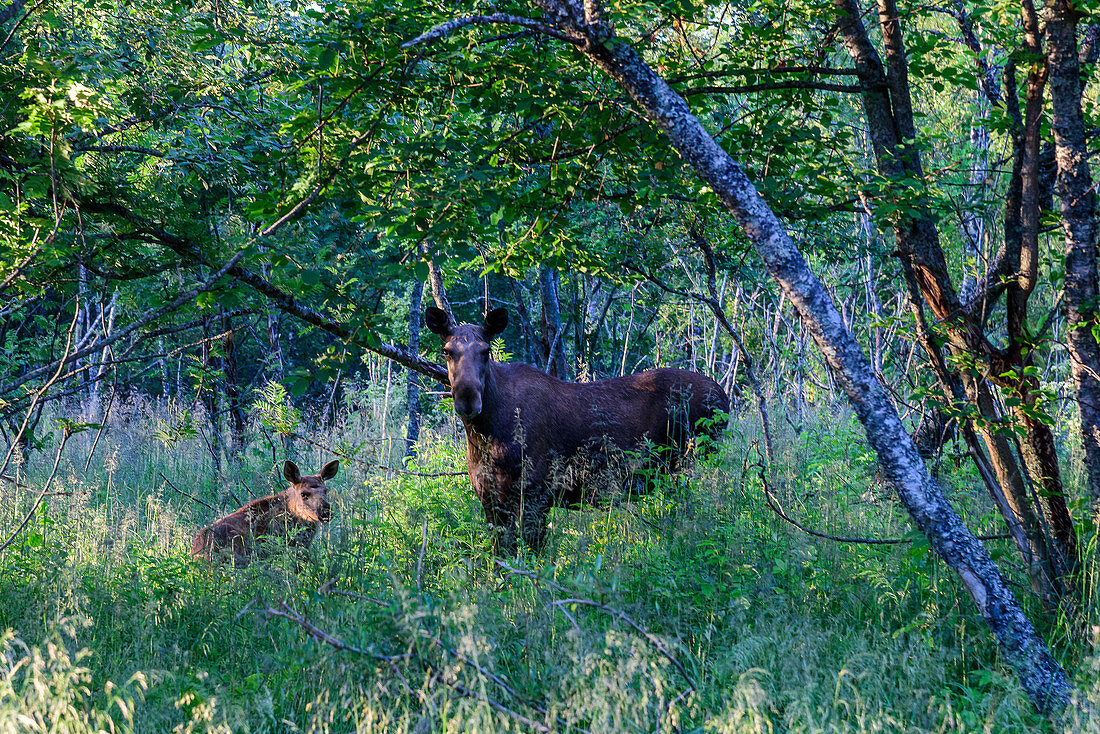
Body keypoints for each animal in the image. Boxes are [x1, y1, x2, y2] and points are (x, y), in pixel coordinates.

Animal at [424, 308, 726, 554]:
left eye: (486, 351)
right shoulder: (491, 500)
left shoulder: (536, 495)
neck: (485, 436)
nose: (467, 398)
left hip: (694, 464)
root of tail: (725, 398)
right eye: (447, 351)